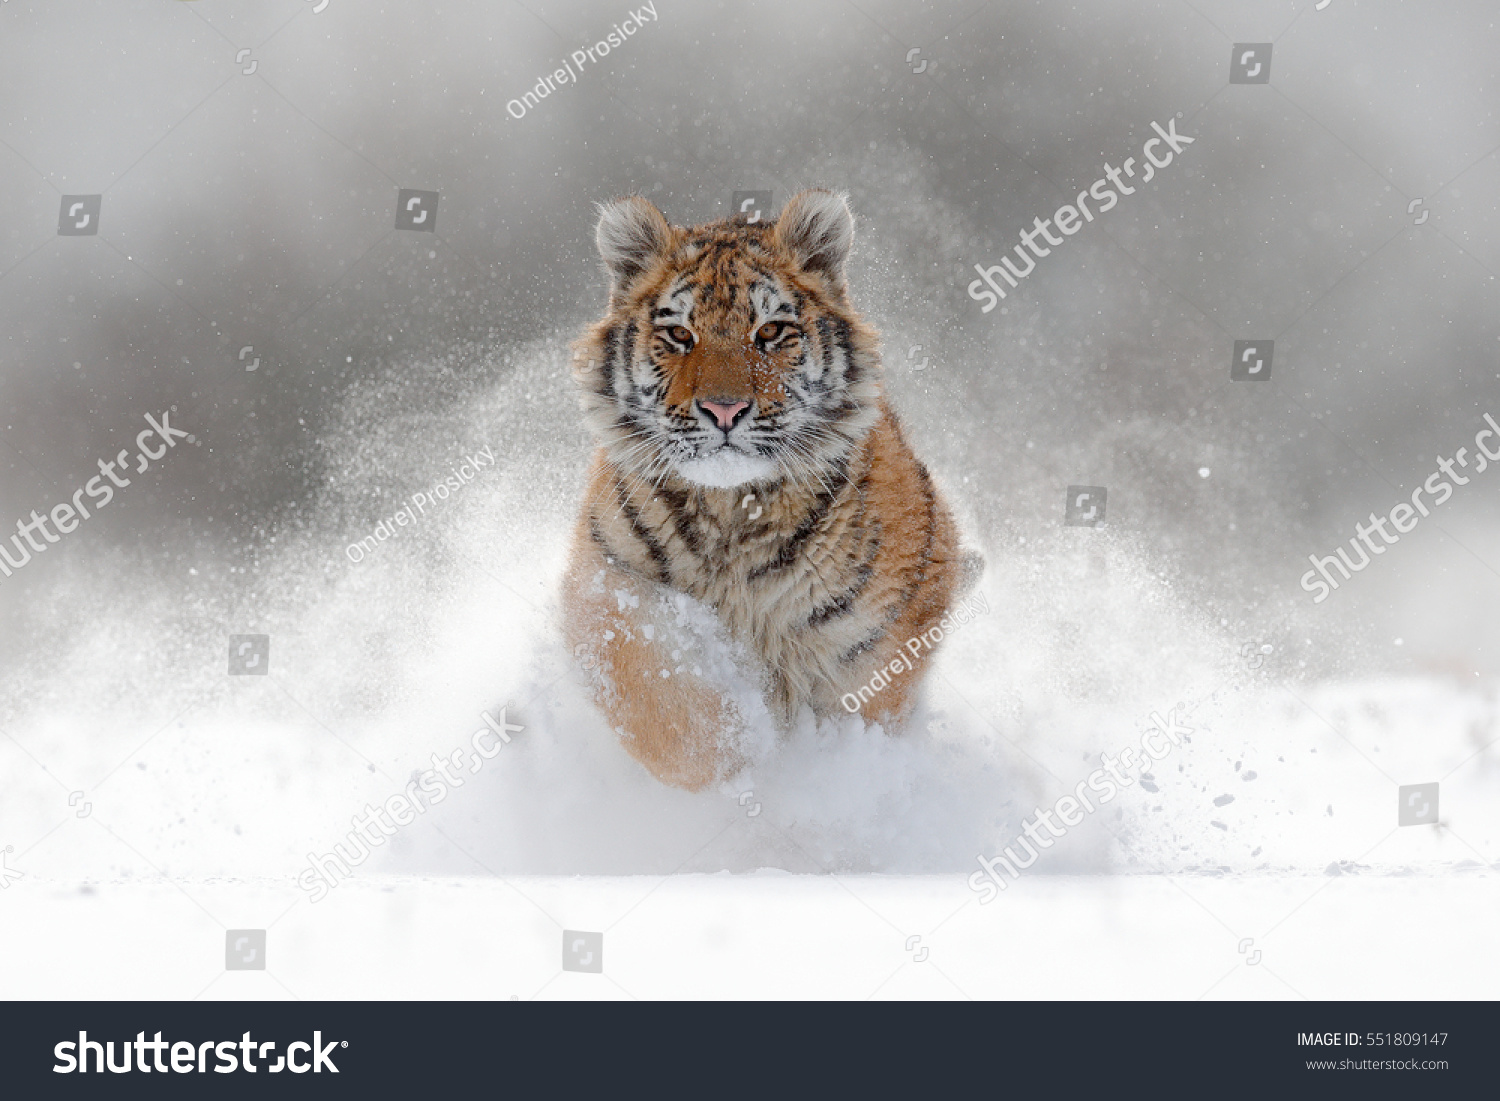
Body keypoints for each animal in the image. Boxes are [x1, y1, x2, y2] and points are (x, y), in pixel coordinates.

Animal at [562, 188, 980, 791]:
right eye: (679, 334)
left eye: (769, 332)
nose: (724, 409)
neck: (734, 511)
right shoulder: (604, 582)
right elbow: (660, 698)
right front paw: (739, 752)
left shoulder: (878, 640)